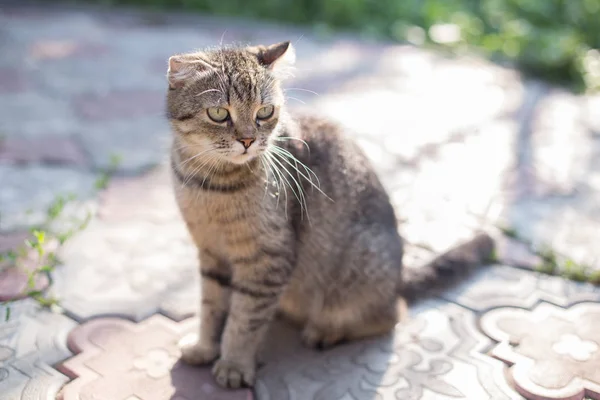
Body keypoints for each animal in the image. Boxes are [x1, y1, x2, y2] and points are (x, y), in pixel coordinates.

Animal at [164, 42, 492, 390]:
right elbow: (211, 308)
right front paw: (204, 347)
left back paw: (325, 331)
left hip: (357, 273)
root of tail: (399, 280)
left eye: (264, 112)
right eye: (218, 114)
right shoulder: (211, 254)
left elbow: (244, 320)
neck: (210, 183)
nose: (248, 140)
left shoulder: (267, 259)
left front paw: (234, 363)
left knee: (391, 315)